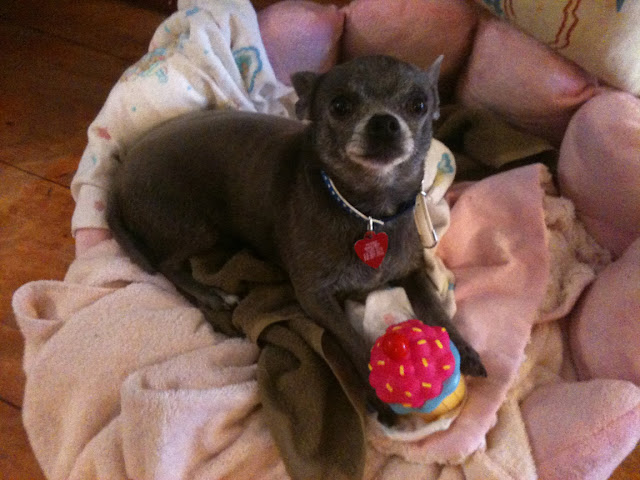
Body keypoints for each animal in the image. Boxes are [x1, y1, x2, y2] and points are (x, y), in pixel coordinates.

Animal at [107, 55, 486, 421]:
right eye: (340, 105)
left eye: (419, 104)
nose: (384, 122)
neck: (368, 213)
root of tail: (121, 172)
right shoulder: (315, 297)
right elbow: (351, 338)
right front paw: (375, 390)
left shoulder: (412, 271)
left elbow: (436, 309)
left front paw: (463, 349)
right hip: (199, 227)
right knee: (165, 264)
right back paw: (210, 295)